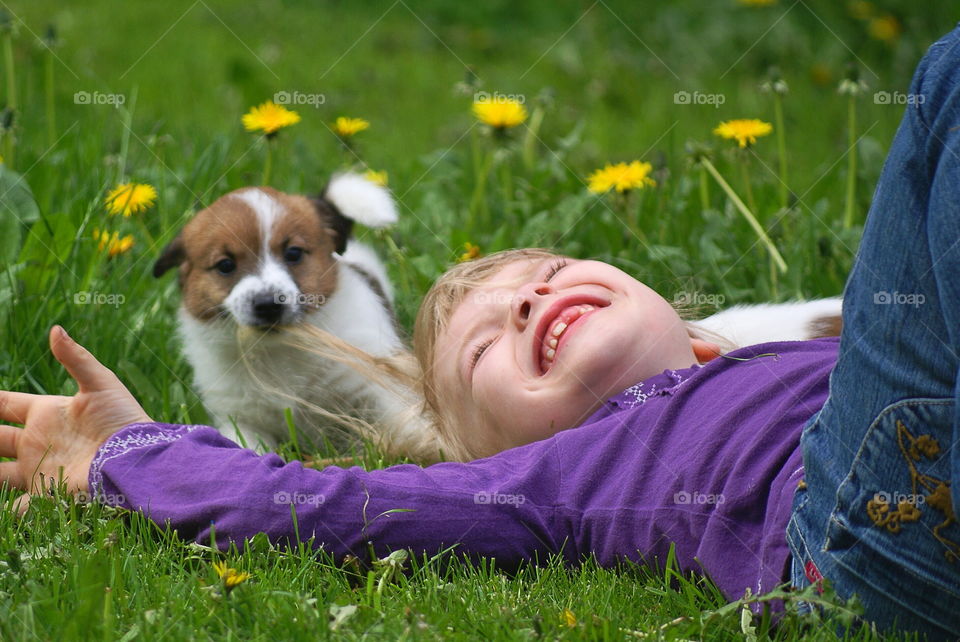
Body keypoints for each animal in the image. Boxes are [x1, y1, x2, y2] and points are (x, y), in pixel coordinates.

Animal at [153, 172, 436, 458]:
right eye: (225, 265)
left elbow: (401, 418)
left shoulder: (373, 385)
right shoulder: (241, 418)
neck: (281, 346)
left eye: (293, 253)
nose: (268, 304)